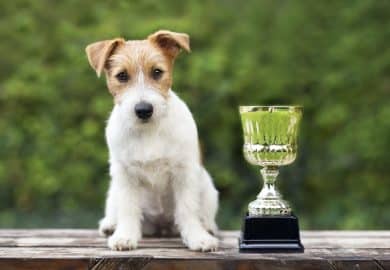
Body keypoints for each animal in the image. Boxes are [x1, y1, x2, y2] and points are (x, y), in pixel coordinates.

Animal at [85, 29, 219, 251]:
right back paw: (110, 225)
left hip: (208, 187)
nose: (143, 110)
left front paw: (198, 237)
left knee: (204, 213)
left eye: (157, 72)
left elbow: (188, 208)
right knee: (115, 210)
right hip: (113, 191)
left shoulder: (184, 172)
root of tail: (161, 226)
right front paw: (125, 236)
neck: (148, 131)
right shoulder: (125, 175)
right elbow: (128, 208)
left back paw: (207, 227)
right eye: (122, 76)